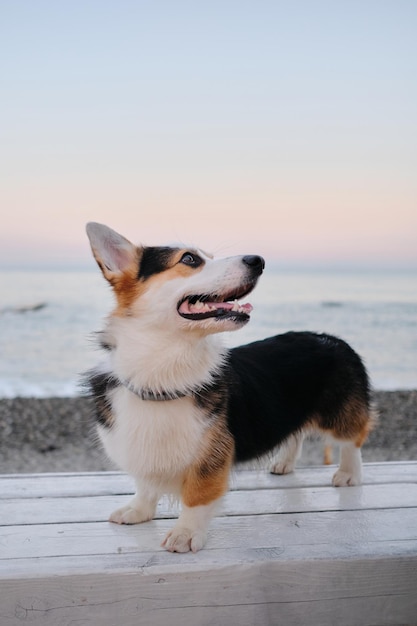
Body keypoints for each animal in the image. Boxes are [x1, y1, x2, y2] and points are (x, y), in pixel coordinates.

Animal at [83, 221, 374, 552]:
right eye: (189, 259)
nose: (258, 260)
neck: (163, 377)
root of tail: (331, 338)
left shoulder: (211, 455)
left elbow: (197, 495)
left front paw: (185, 533)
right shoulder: (141, 450)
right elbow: (145, 485)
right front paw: (137, 510)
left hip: (339, 415)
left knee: (353, 438)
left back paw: (349, 473)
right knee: (295, 434)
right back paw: (284, 463)